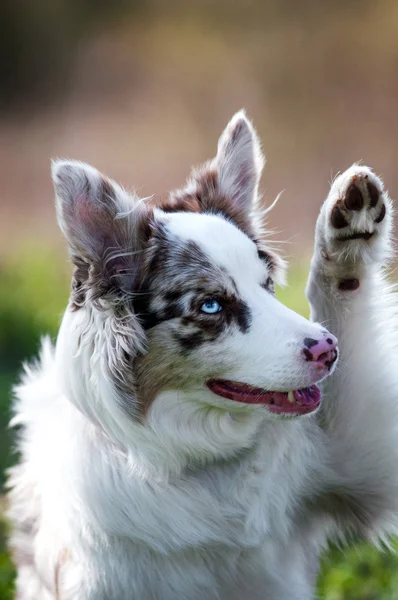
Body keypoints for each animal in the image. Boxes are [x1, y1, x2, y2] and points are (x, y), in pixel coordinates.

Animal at [7, 111, 398, 596]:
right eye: (211, 306)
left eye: (267, 284)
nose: (328, 351)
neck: (199, 463)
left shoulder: (358, 459)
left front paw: (349, 228)